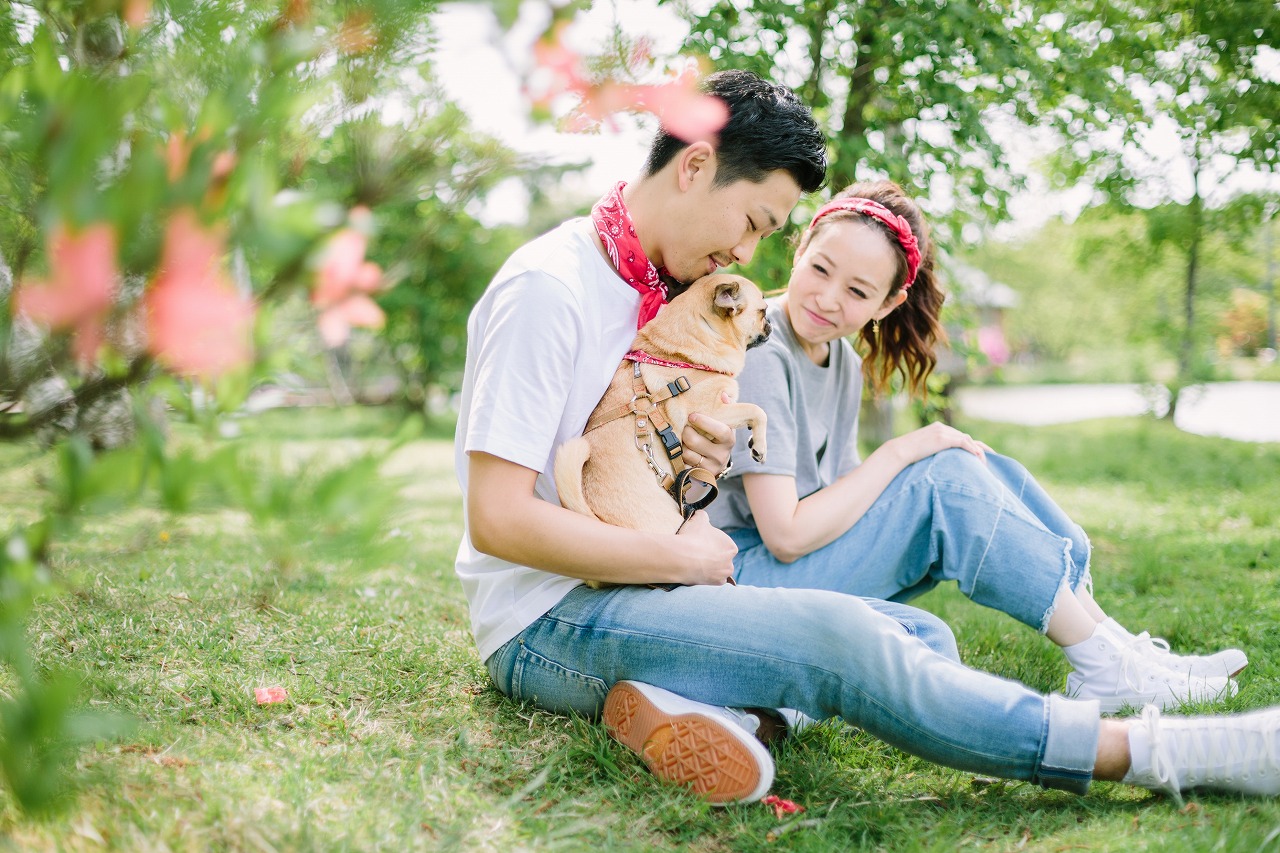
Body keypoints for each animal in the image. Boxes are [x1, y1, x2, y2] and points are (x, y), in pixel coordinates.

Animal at [552, 270, 768, 578]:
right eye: (763, 312)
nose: (770, 325)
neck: (682, 356)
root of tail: (592, 520)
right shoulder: (710, 411)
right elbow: (757, 411)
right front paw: (760, 445)